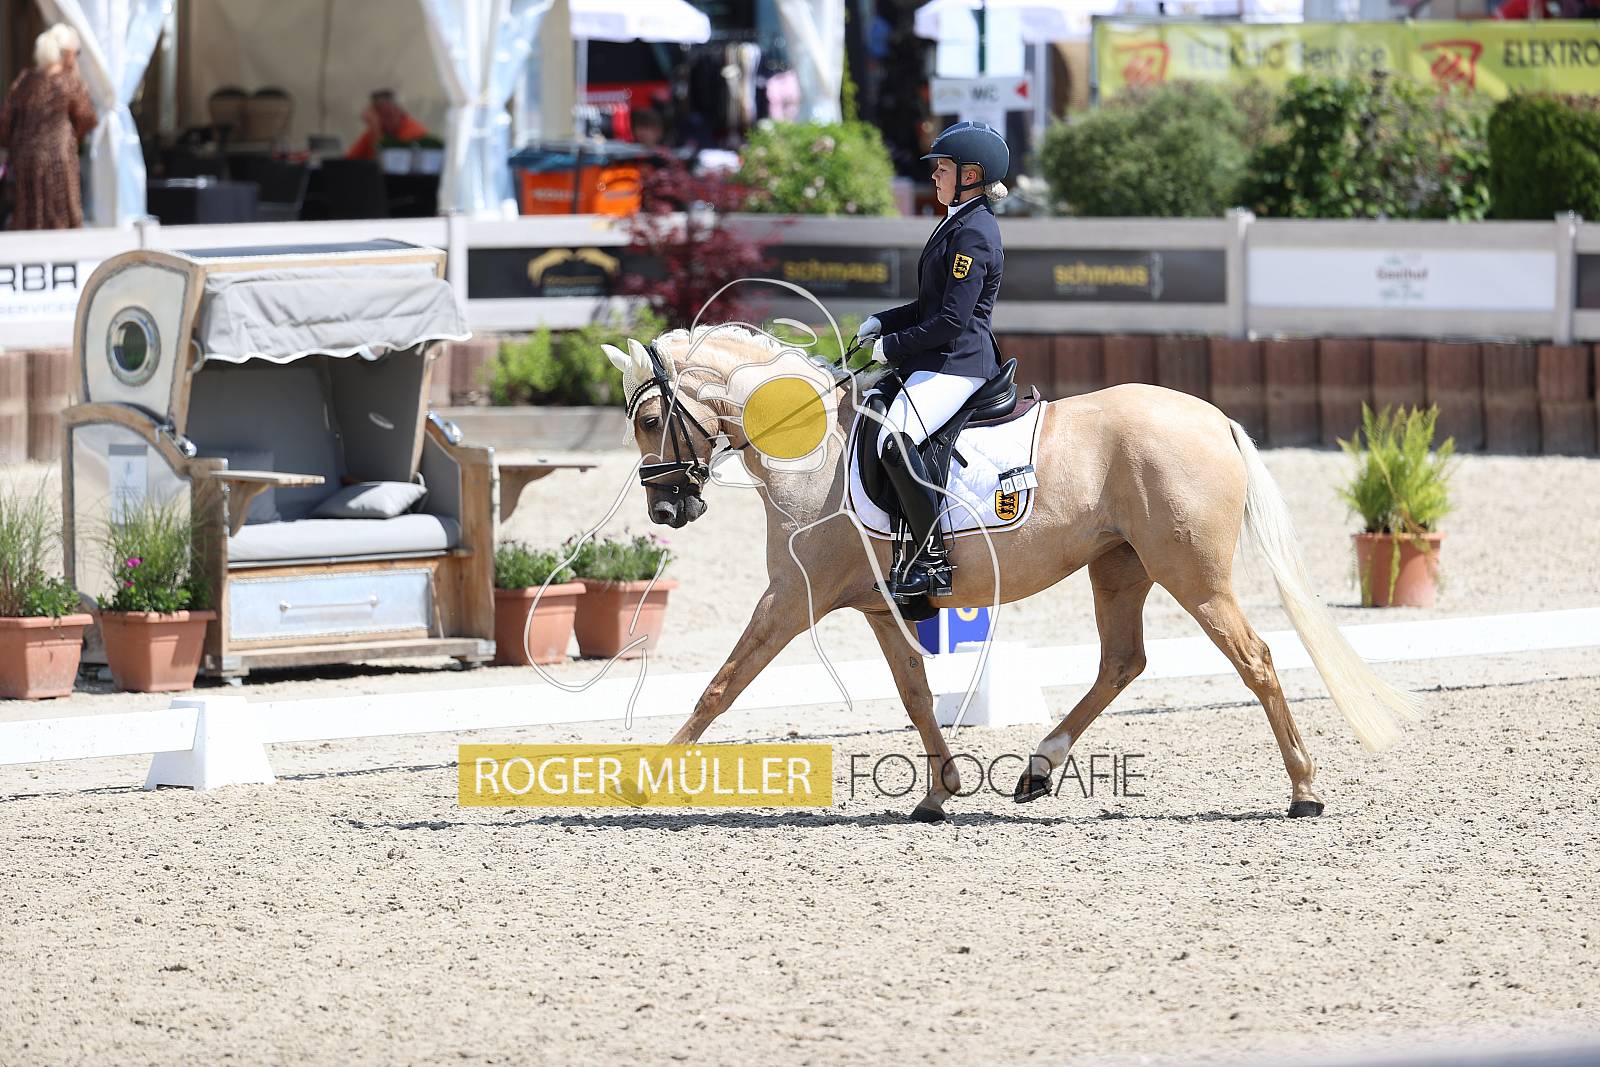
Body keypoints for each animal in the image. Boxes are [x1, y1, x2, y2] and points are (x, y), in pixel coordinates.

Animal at [601, 325, 1420, 822]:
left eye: (649, 420)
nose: (668, 507)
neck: (815, 454)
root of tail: (1211, 417)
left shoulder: (792, 597)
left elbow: (721, 685)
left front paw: (643, 778)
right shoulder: (879, 605)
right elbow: (916, 695)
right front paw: (940, 794)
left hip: (1192, 575)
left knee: (1255, 659)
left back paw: (1304, 790)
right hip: (1119, 567)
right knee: (1123, 661)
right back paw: (1037, 770)